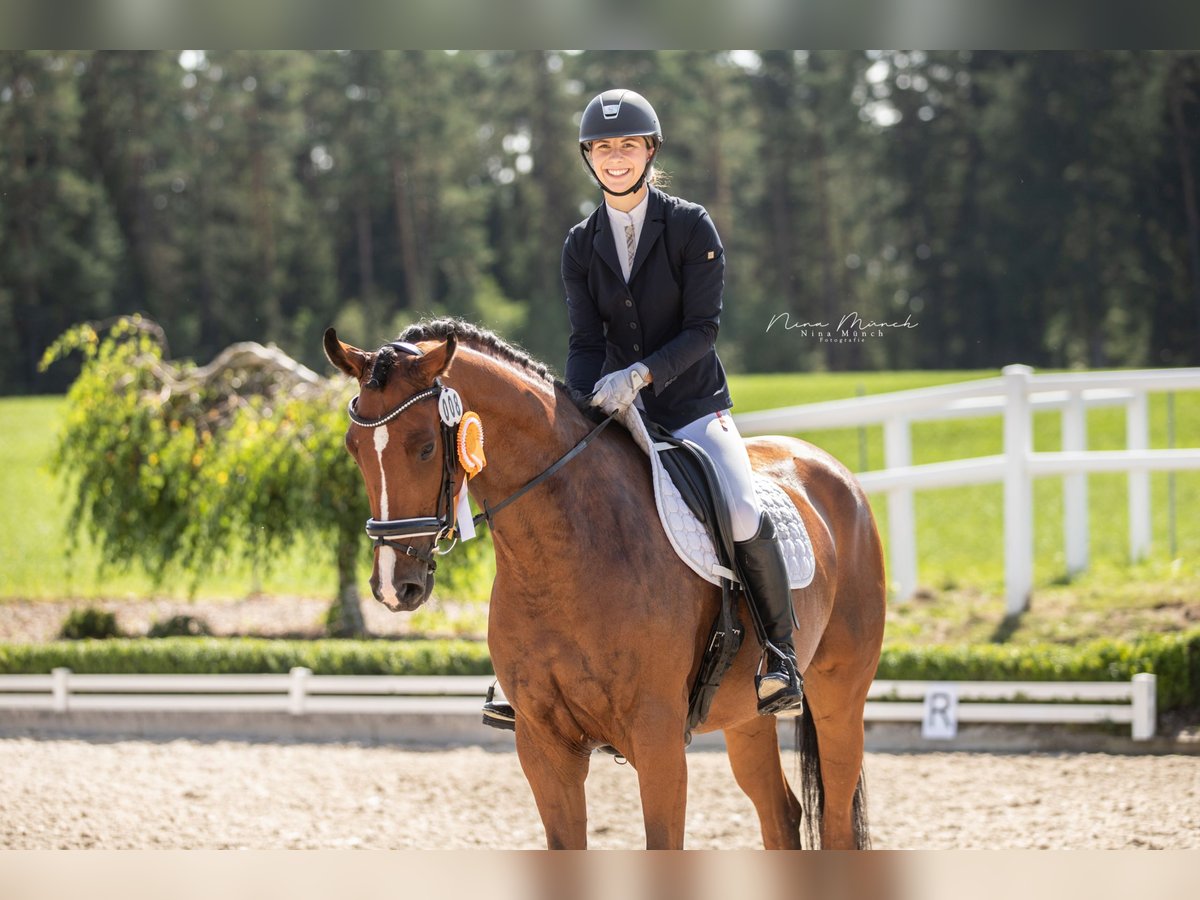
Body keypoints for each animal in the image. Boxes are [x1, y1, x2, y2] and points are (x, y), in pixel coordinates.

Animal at [324, 319, 888, 854]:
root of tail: (829, 467)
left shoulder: (658, 739)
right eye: (354, 448)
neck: (563, 555)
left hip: (839, 695)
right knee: (781, 815)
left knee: (836, 820)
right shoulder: (544, 744)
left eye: (423, 448)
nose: (394, 586)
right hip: (745, 717)